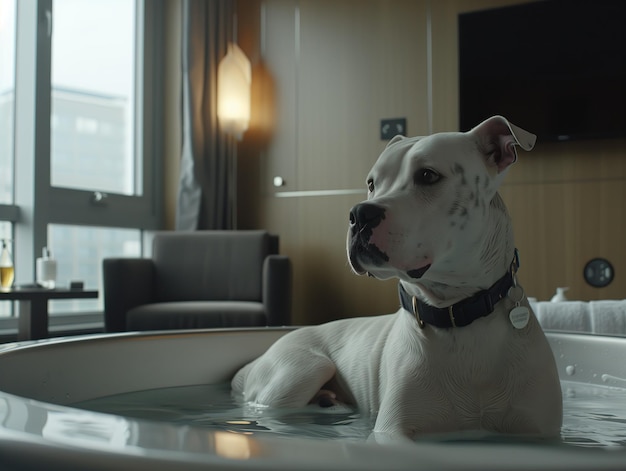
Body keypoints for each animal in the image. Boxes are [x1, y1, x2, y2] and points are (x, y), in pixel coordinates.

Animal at [233, 116, 560, 440]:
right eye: (371, 183)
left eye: (428, 175)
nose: (359, 214)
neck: (457, 312)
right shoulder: (394, 431)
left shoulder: (540, 432)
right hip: (304, 370)